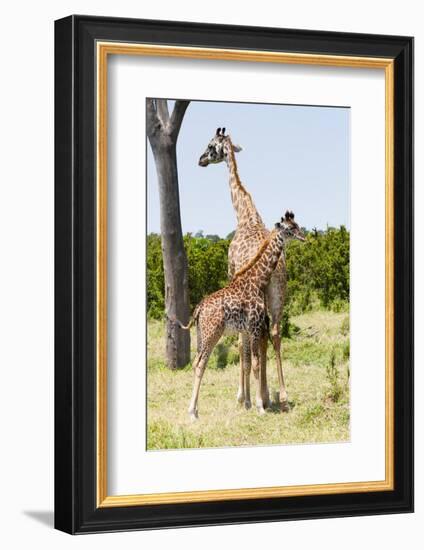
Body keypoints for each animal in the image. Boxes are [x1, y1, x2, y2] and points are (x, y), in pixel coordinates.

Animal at [175, 213, 304, 420]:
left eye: (297, 226)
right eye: (291, 229)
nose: (303, 237)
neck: (258, 280)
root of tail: (198, 309)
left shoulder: (249, 329)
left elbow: (250, 363)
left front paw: (253, 404)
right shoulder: (255, 327)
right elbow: (256, 365)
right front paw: (260, 407)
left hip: (201, 336)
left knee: (196, 363)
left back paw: (195, 410)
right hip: (212, 334)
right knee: (201, 364)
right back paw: (192, 413)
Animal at [198, 129, 292, 412]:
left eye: (210, 145)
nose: (200, 160)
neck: (245, 215)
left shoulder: (232, 276)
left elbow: (242, 343)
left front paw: (243, 395)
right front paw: (261, 394)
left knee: (257, 339)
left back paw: (260, 397)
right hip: (278, 294)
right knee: (274, 333)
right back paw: (281, 396)